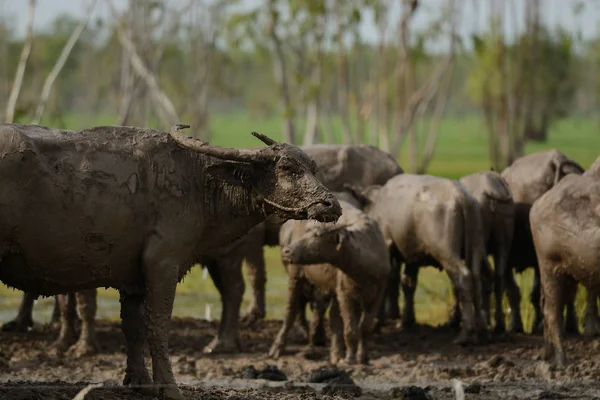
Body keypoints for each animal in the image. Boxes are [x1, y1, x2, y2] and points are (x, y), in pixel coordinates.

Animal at [0, 123, 340, 398]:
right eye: (287, 168)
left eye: (313, 166)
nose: (331, 204)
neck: (197, 182)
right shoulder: (163, 263)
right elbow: (158, 326)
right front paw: (169, 387)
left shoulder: (133, 279)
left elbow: (133, 327)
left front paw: (140, 381)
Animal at [270, 202, 392, 364]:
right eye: (308, 232)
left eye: (317, 235)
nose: (287, 251)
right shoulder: (346, 295)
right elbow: (351, 329)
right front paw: (350, 359)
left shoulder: (378, 295)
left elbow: (364, 328)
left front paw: (363, 358)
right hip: (296, 274)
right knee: (291, 309)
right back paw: (277, 349)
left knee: (333, 317)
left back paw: (336, 354)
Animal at [344, 175, 490, 344]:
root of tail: (460, 195)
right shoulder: (413, 254)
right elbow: (408, 283)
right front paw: (406, 322)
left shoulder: (387, 247)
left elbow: (387, 282)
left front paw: (377, 324)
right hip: (476, 245)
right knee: (477, 278)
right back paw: (481, 330)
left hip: (446, 251)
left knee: (464, 278)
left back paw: (465, 334)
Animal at [528, 159, 600, 366]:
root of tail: (537, 205)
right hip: (550, 268)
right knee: (552, 312)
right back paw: (561, 360)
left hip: (568, 273)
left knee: (548, 307)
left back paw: (548, 354)